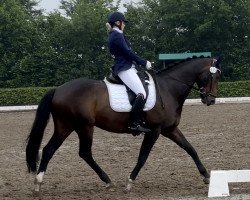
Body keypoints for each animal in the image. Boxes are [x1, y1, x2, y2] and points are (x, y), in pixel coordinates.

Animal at [25, 55, 221, 194]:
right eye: (215, 76)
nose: (210, 100)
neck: (168, 89)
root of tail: (58, 89)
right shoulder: (154, 131)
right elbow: (142, 157)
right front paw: (129, 183)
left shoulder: (170, 129)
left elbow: (190, 149)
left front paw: (206, 176)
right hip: (83, 126)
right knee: (83, 152)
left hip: (67, 126)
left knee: (50, 149)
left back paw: (38, 184)